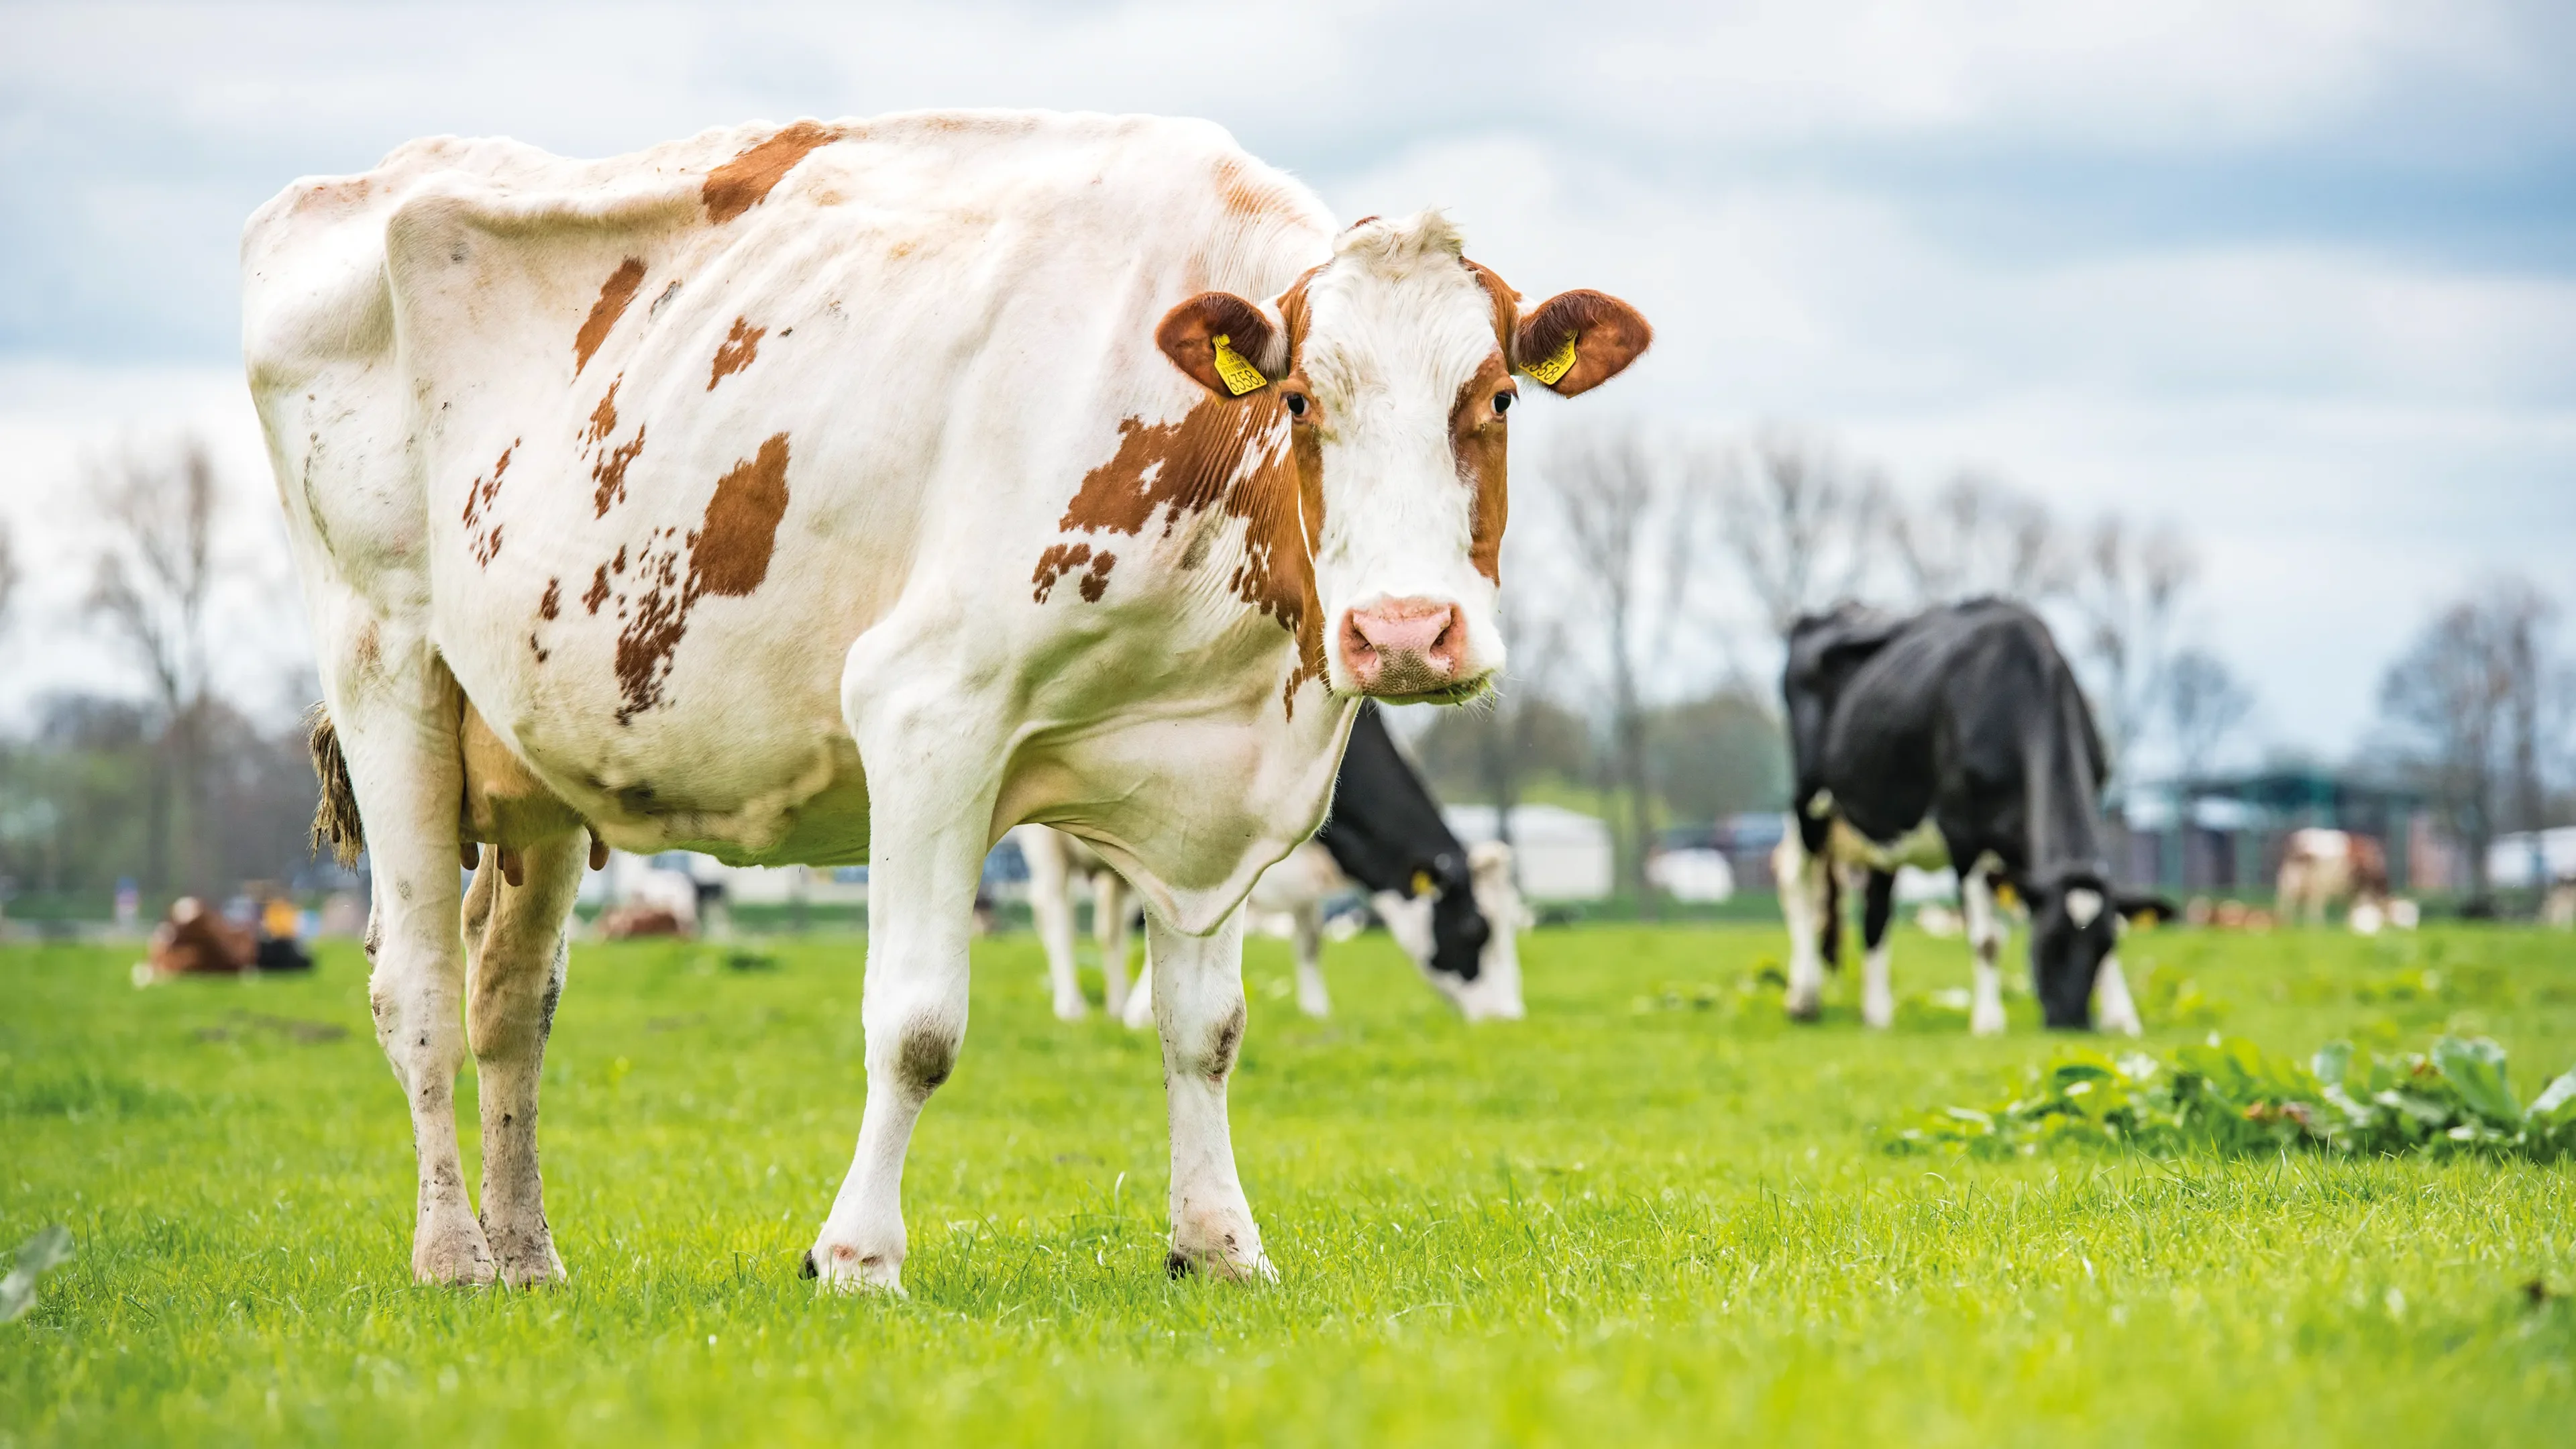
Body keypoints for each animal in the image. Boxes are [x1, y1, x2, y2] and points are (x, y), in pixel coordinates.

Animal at [1018, 703, 1526, 1023]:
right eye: (1476, 929)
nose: (1508, 1016)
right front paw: (1144, 1013)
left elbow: (1310, 940)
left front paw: (1316, 1010)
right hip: (1046, 844)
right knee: (1055, 912)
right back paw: (1072, 1007)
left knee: (1108, 929)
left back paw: (1113, 1003)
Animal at [1775, 600, 2164, 1036]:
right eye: (2049, 944)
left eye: (2105, 946)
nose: (2072, 1022)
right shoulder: (1962, 833)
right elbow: (1988, 938)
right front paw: (1989, 1022)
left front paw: (2122, 1016)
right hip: (1809, 803)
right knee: (1798, 881)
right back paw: (1804, 998)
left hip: (1882, 824)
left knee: (1877, 913)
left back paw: (1877, 1013)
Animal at [2275, 828, 2392, 929]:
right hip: (2317, 883)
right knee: (2312, 904)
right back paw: (2315, 926)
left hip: (2290, 879)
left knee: (2287, 901)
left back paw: (2289, 923)